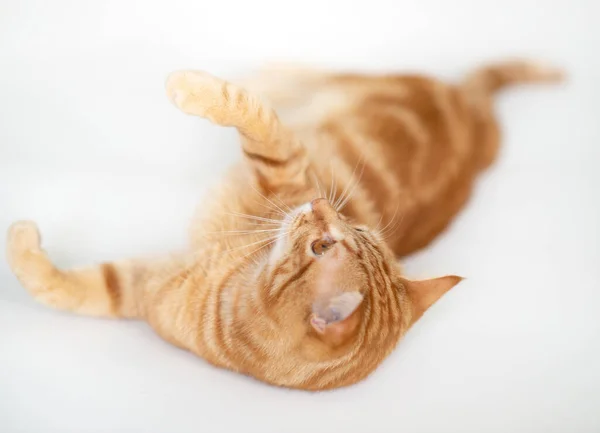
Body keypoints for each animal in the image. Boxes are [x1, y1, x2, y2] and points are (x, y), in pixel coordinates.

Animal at [5, 60, 564, 388]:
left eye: (323, 247)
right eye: (357, 231)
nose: (321, 204)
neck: (233, 285)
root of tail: (475, 111)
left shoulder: (280, 169)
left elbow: (248, 116)